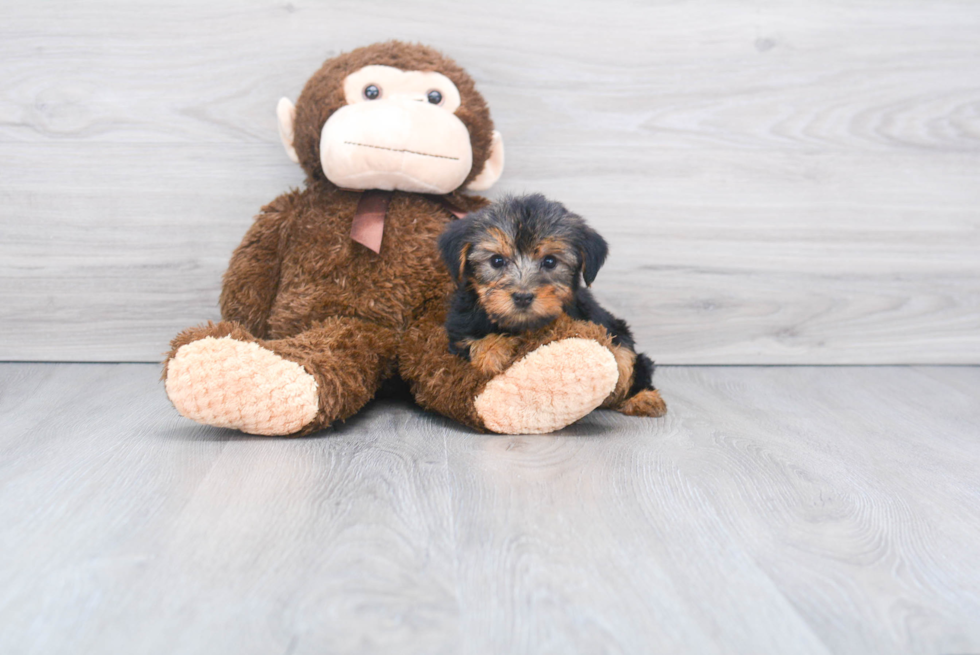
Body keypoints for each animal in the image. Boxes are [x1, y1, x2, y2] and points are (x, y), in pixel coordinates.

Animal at [438, 195, 664, 418]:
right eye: (496, 260)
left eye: (550, 261)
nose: (522, 297)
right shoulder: (460, 328)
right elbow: (474, 341)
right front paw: (493, 352)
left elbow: (622, 354)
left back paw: (644, 398)